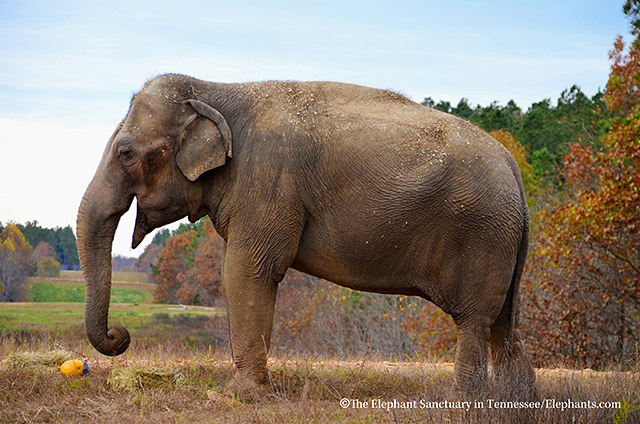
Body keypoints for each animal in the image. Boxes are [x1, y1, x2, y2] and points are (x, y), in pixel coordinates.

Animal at [79, 72, 536, 398]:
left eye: (125, 153)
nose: (119, 335)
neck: (216, 89)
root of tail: (513, 166)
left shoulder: (267, 181)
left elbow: (245, 271)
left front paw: (234, 396)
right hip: (503, 243)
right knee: (504, 323)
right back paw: (515, 401)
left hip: (481, 235)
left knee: (474, 320)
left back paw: (463, 401)